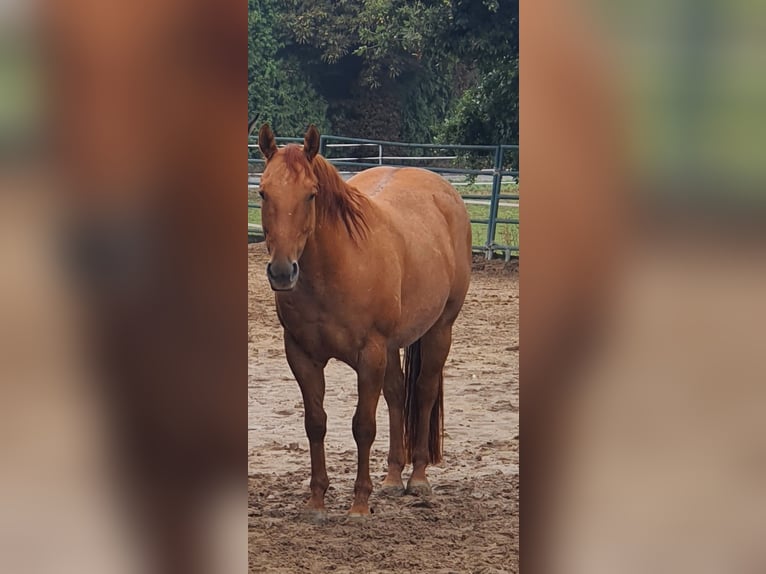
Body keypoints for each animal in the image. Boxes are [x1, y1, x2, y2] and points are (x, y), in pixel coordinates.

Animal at [257, 123, 472, 520]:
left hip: (439, 331)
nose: (281, 271)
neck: (335, 270)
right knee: (398, 394)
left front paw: (359, 504)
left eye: (311, 195)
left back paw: (418, 479)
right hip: (392, 348)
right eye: (263, 192)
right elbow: (316, 423)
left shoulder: (369, 354)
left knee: (422, 393)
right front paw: (316, 502)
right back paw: (392, 478)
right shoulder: (302, 355)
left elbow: (363, 426)